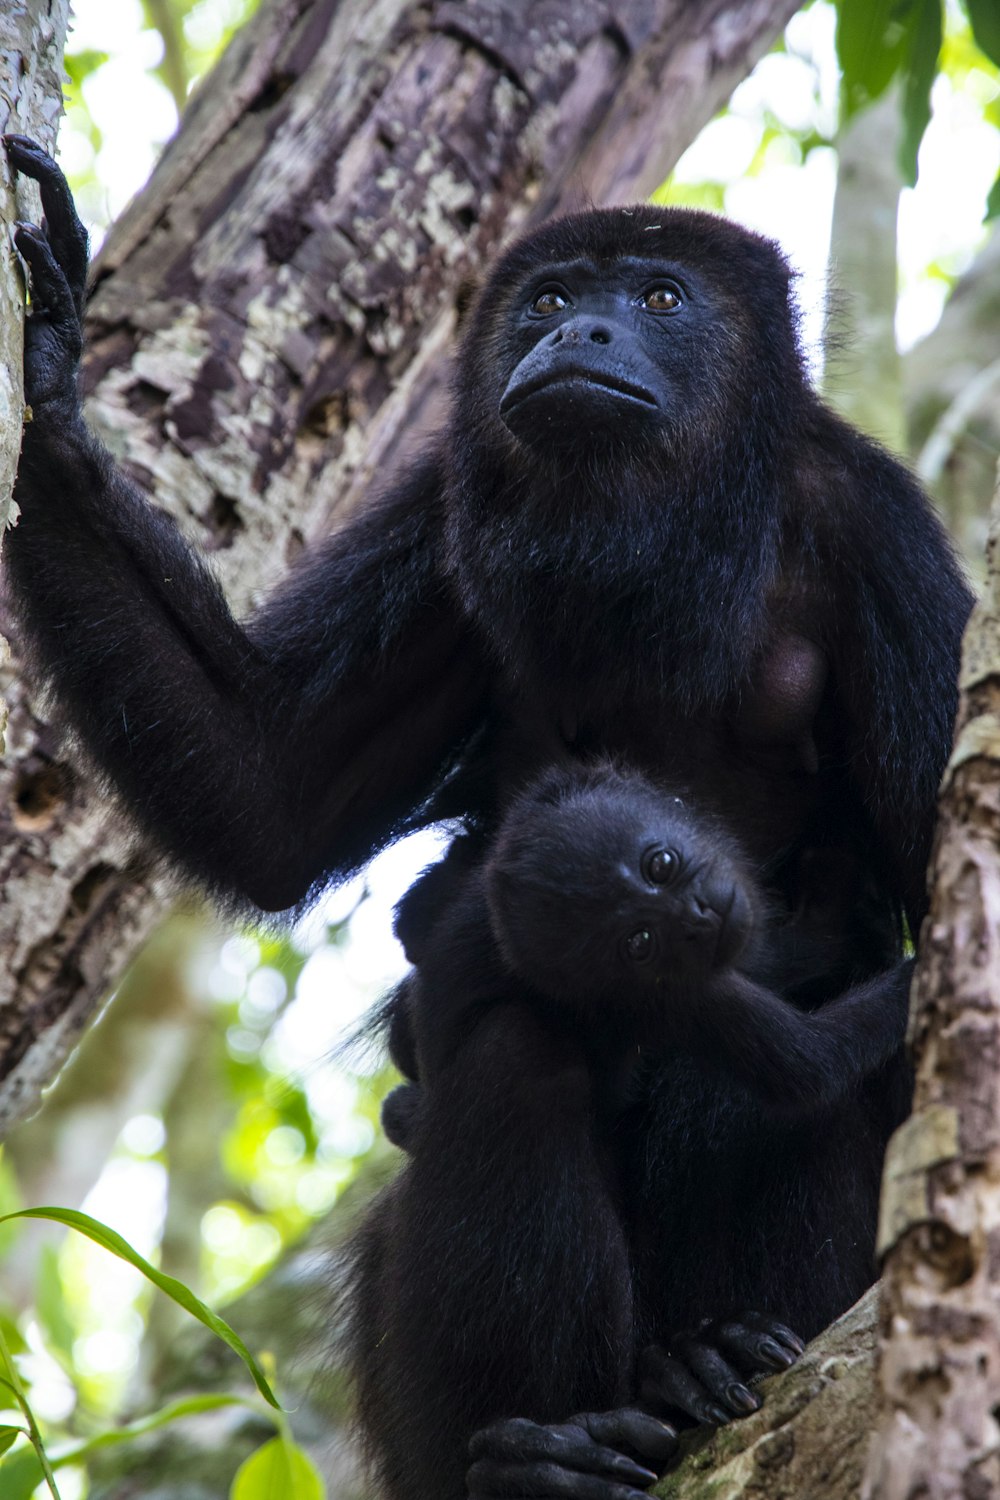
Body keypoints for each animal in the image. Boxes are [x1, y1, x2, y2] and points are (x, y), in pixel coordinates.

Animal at [3, 135, 971, 1494]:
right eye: (550, 297)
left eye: (660, 299)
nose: (580, 335)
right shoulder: (436, 511)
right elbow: (268, 794)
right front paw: (54, 389)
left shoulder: (883, 539)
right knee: (512, 1057)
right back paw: (540, 1450)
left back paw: (716, 1352)